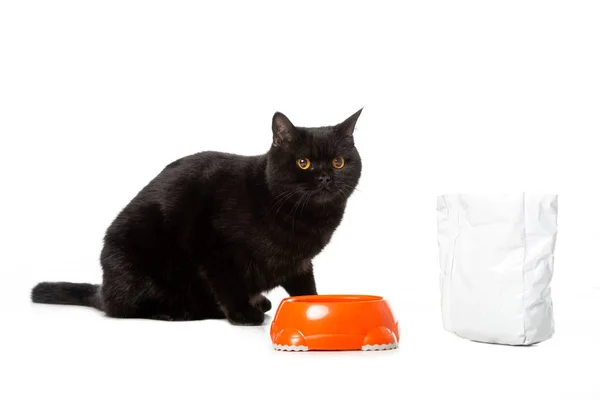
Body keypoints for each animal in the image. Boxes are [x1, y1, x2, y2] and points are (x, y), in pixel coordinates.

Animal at [30, 108, 364, 324]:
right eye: (303, 162)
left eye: (338, 162)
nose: (324, 177)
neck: (304, 219)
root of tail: (104, 287)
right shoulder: (212, 245)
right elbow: (227, 282)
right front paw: (242, 314)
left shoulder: (299, 261)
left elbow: (305, 286)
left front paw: (318, 306)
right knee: (125, 308)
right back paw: (182, 311)